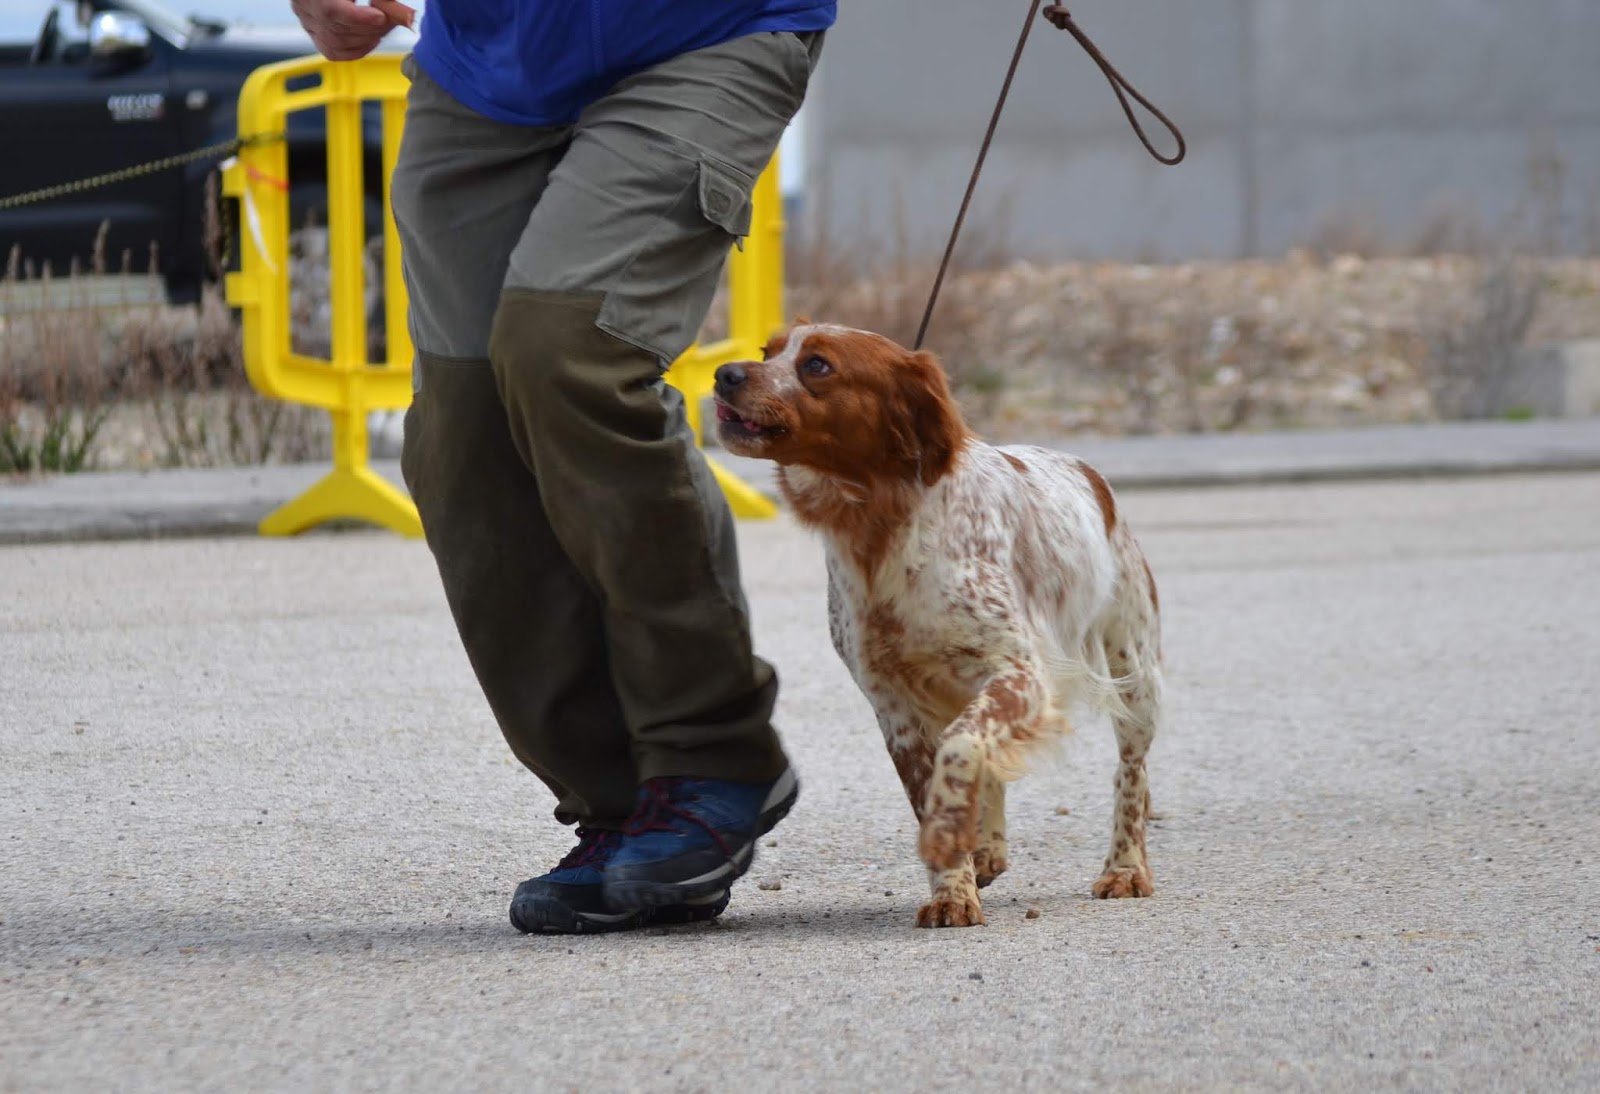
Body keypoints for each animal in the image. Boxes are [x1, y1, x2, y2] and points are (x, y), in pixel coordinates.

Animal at [713, 323, 1163, 928]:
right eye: (768, 351)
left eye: (817, 365)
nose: (724, 374)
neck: (880, 525)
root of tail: (1090, 474)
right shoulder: (893, 705)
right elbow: (936, 779)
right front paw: (954, 886)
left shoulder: (1021, 674)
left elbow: (961, 748)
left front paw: (954, 854)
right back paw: (989, 849)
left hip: (1134, 673)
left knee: (1130, 774)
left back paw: (1125, 868)